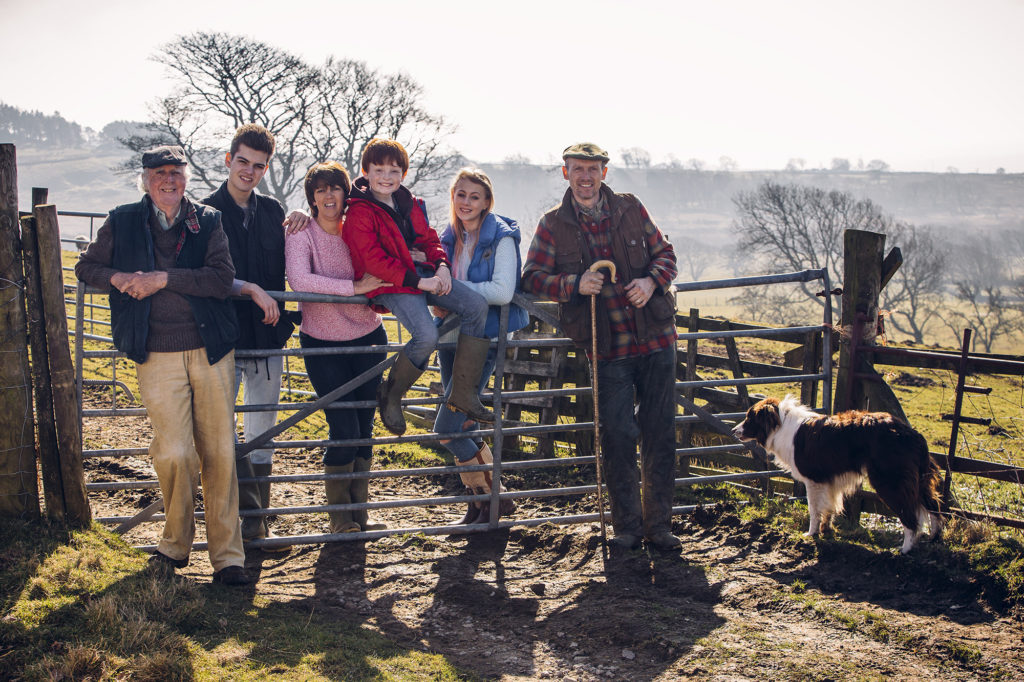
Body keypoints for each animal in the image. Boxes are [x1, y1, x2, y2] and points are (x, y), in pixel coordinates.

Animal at [729, 395, 942, 548]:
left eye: (749, 417)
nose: (733, 431)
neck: (780, 424)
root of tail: (910, 433)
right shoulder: (829, 481)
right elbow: (828, 508)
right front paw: (826, 530)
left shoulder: (814, 480)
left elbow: (814, 509)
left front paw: (811, 533)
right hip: (919, 481)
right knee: (934, 507)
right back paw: (933, 538)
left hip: (890, 482)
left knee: (910, 517)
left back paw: (905, 549)